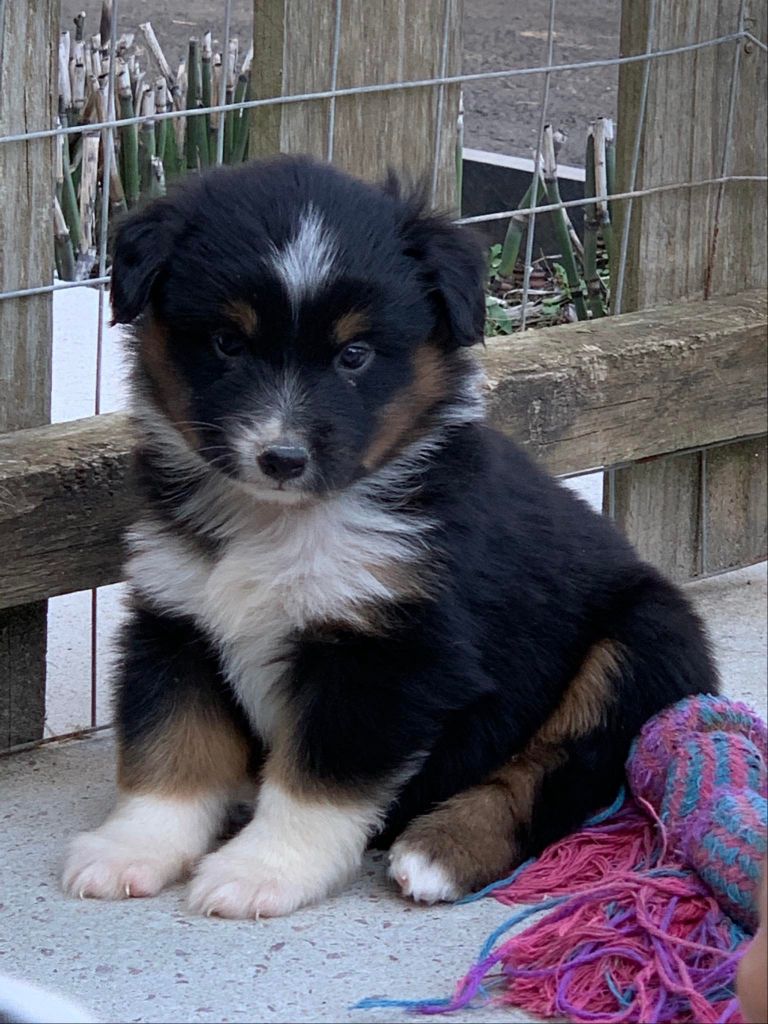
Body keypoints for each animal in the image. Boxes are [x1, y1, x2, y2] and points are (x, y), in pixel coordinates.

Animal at [61, 155, 720, 917]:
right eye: (227, 344)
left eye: (355, 355)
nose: (281, 458)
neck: (283, 522)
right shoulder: (177, 617)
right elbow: (171, 746)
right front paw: (131, 850)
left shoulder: (389, 652)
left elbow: (317, 779)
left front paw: (261, 871)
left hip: (643, 638)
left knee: (562, 768)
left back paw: (441, 850)